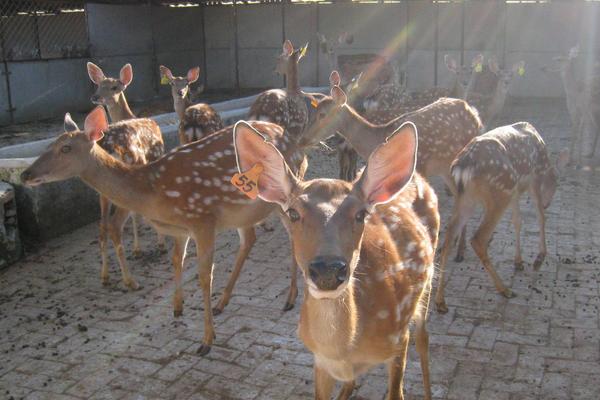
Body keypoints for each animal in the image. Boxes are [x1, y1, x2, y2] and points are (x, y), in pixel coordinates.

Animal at [19, 107, 310, 356]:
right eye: (48, 145)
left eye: (65, 148)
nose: (25, 174)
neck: (153, 192)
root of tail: (296, 142)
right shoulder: (181, 229)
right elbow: (176, 260)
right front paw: (177, 307)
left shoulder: (202, 218)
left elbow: (205, 276)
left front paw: (206, 340)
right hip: (246, 210)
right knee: (250, 239)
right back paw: (223, 302)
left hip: (282, 195)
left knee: (290, 237)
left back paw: (289, 298)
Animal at [85, 61, 165, 288]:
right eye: (98, 85)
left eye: (113, 87)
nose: (95, 97)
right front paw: (158, 244)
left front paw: (138, 249)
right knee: (114, 225)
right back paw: (129, 280)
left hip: (103, 191)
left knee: (103, 225)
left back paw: (105, 276)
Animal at [236, 119, 440, 400]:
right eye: (293, 213)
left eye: (361, 214)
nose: (328, 270)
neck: (345, 349)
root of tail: (417, 176)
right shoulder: (320, 361)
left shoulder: (399, 340)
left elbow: (397, 390)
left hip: (425, 287)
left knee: (424, 337)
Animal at [436, 122, 568, 312]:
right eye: (557, 180)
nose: (547, 203)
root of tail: (462, 167)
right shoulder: (533, 179)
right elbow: (541, 217)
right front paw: (539, 259)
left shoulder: (516, 193)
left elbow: (517, 221)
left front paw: (518, 262)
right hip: (501, 191)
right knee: (478, 238)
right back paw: (504, 289)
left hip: (467, 197)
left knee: (448, 237)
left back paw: (440, 302)